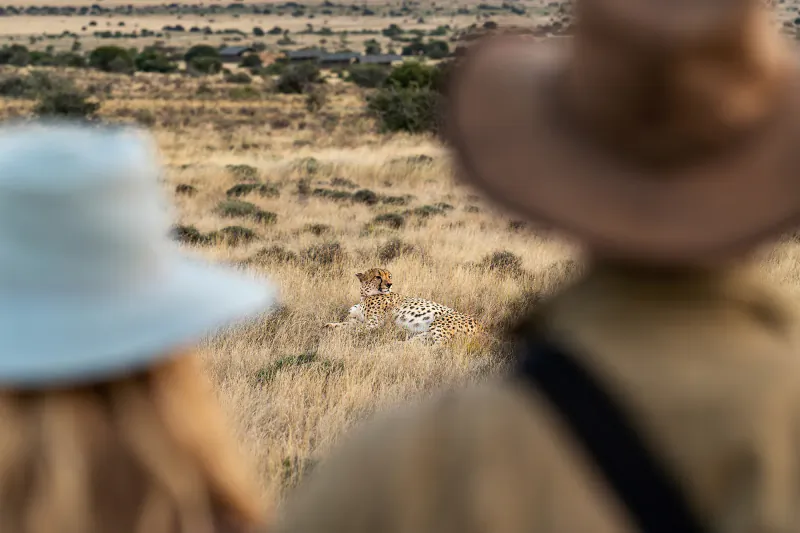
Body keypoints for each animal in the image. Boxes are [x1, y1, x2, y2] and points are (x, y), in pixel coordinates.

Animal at [323, 268, 483, 345]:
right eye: (378, 276)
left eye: (389, 276)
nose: (389, 284)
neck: (365, 295)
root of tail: (483, 328)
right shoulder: (358, 320)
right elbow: (347, 324)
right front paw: (329, 326)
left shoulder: (374, 324)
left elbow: (353, 329)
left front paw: (336, 331)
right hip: (426, 333)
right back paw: (394, 345)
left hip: (439, 324)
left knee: (440, 348)